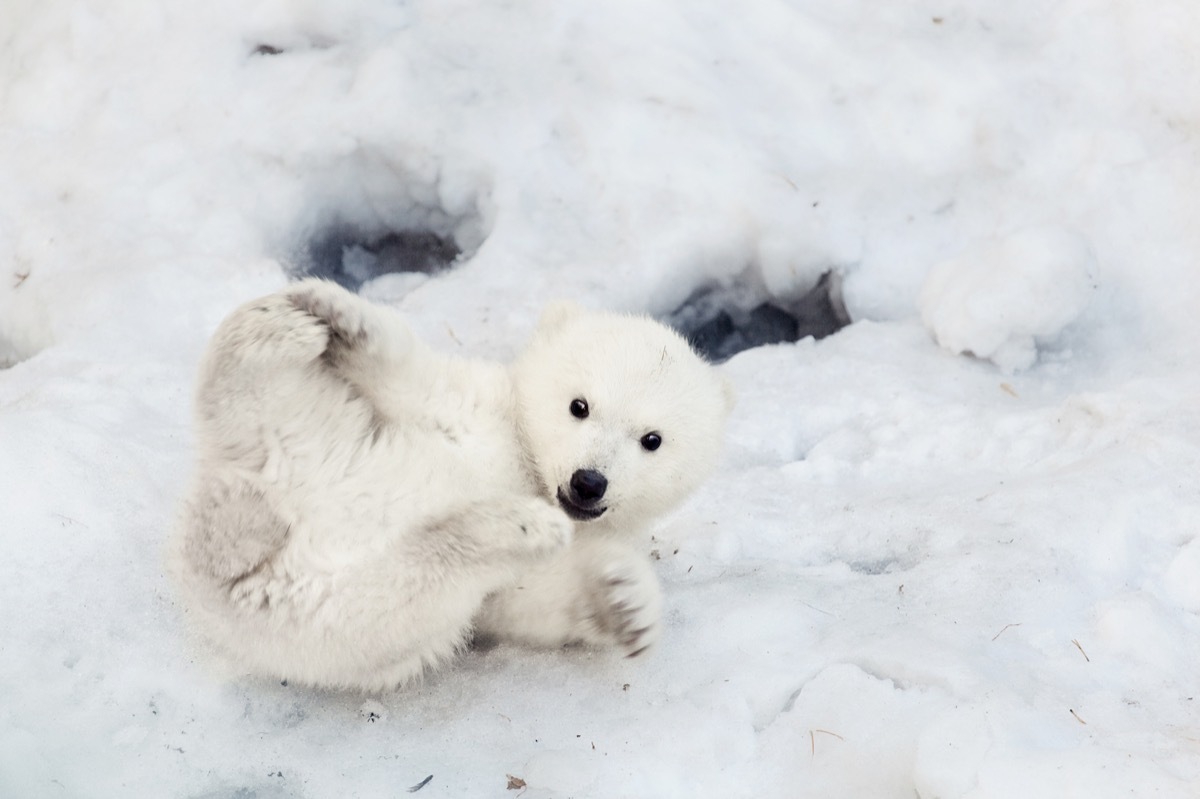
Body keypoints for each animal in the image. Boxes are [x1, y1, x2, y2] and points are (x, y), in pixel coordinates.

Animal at [172, 279, 734, 691]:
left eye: (652, 439)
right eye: (580, 405)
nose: (588, 482)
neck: (527, 468)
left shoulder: (572, 545)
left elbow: (534, 595)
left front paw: (626, 602)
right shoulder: (477, 413)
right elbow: (416, 381)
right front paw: (341, 316)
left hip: (306, 599)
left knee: (389, 600)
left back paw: (515, 527)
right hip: (313, 427)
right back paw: (277, 328)